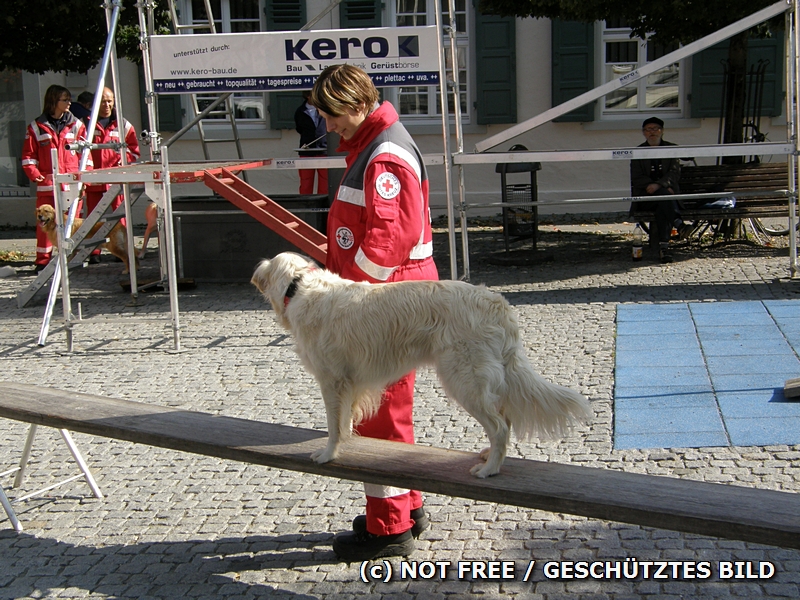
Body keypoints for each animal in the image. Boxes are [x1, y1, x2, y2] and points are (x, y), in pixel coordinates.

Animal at [253, 253, 592, 478]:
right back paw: (489, 457)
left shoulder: (331, 380)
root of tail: (498, 303)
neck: (299, 286)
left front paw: (327, 454)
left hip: (463, 380)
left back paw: (489, 469)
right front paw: (347, 439)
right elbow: (346, 419)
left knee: (498, 426)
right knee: (504, 417)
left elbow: (334, 425)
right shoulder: (349, 382)